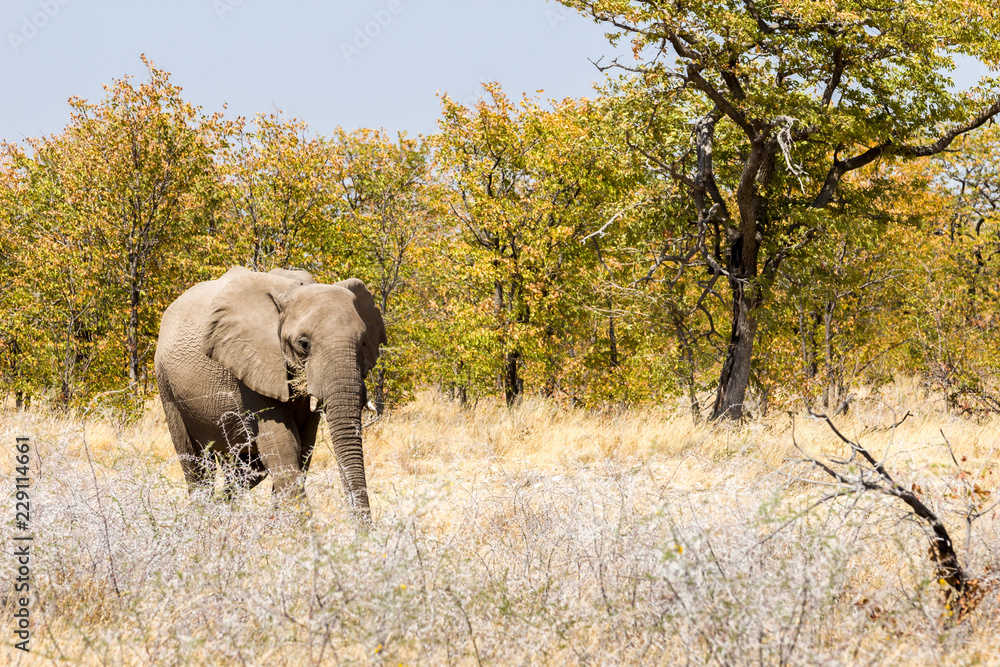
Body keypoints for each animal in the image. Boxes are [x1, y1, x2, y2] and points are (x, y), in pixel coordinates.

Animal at [154, 266, 385, 522]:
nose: (363, 530)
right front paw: (303, 531)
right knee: (196, 463)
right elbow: (283, 445)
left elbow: (304, 447)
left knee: (246, 471)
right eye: (304, 344)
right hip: (166, 383)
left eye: (363, 342)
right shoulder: (252, 361)